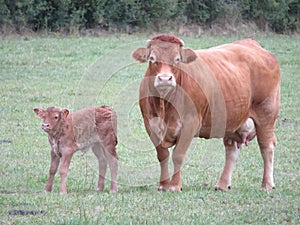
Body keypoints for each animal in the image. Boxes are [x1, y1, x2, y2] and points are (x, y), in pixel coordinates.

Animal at [132, 34, 280, 192]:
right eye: (152, 58)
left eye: (177, 59)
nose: (165, 79)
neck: (164, 104)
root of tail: (252, 44)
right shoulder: (150, 124)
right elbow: (162, 154)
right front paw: (164, 185)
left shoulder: (190, 123)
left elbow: (178, 155)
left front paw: (175, 186)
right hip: (232, 119)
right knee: (232, 150)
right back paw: (222, 184)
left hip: (266, 114)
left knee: (267, 146)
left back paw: (267, 184)